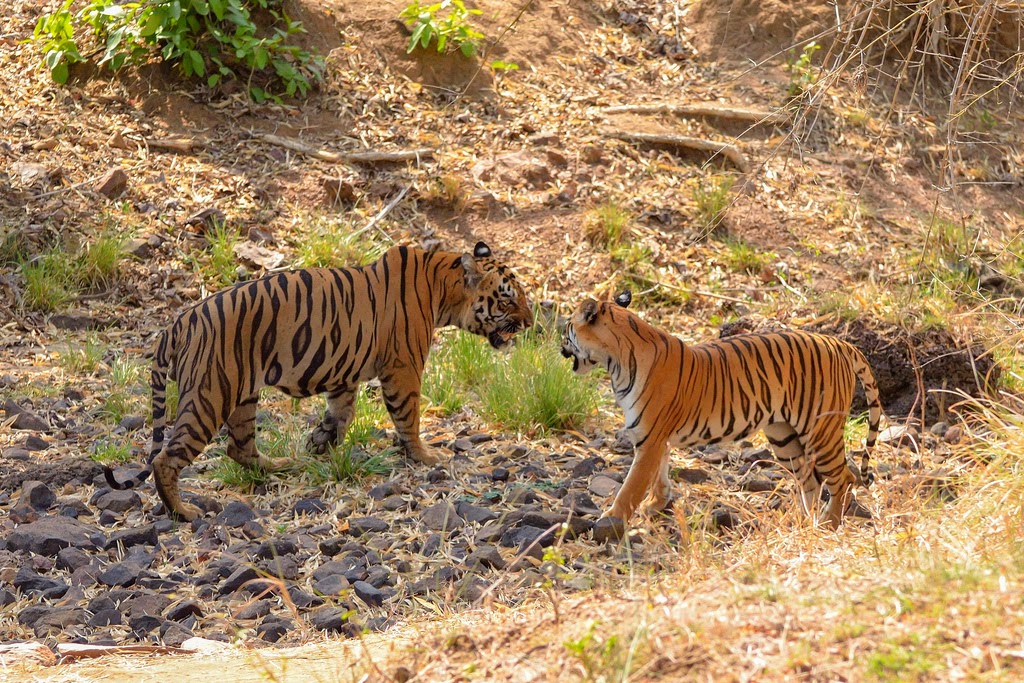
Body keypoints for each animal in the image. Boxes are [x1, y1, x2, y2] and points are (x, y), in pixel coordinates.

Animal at [107, 242, 532, 520]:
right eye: (508, 300)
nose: (530, 322)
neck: (442, 287)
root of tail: (178, 322)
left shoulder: (345, 370)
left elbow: (340, 414)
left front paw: (319, 444)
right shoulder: (404, 366)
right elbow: (408, 416)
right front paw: (427, 456)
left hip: (242, 394)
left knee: (238, 448)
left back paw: (281, 464)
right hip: (211, 394)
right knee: (167, 458)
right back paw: (183, 511)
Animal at [561, 290, 880, 528]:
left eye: (567, 328)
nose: (559, 345)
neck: (615, 360)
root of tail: (839, 342)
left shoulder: (650, 438)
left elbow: (633, 485)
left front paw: (612, 518)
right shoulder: (654, 436)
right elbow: (659, 474)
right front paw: (656, 504)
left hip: (820, 430)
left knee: (844, 478)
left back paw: (828, 523)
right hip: (784, 437)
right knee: (811, 480)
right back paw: (804, 522)